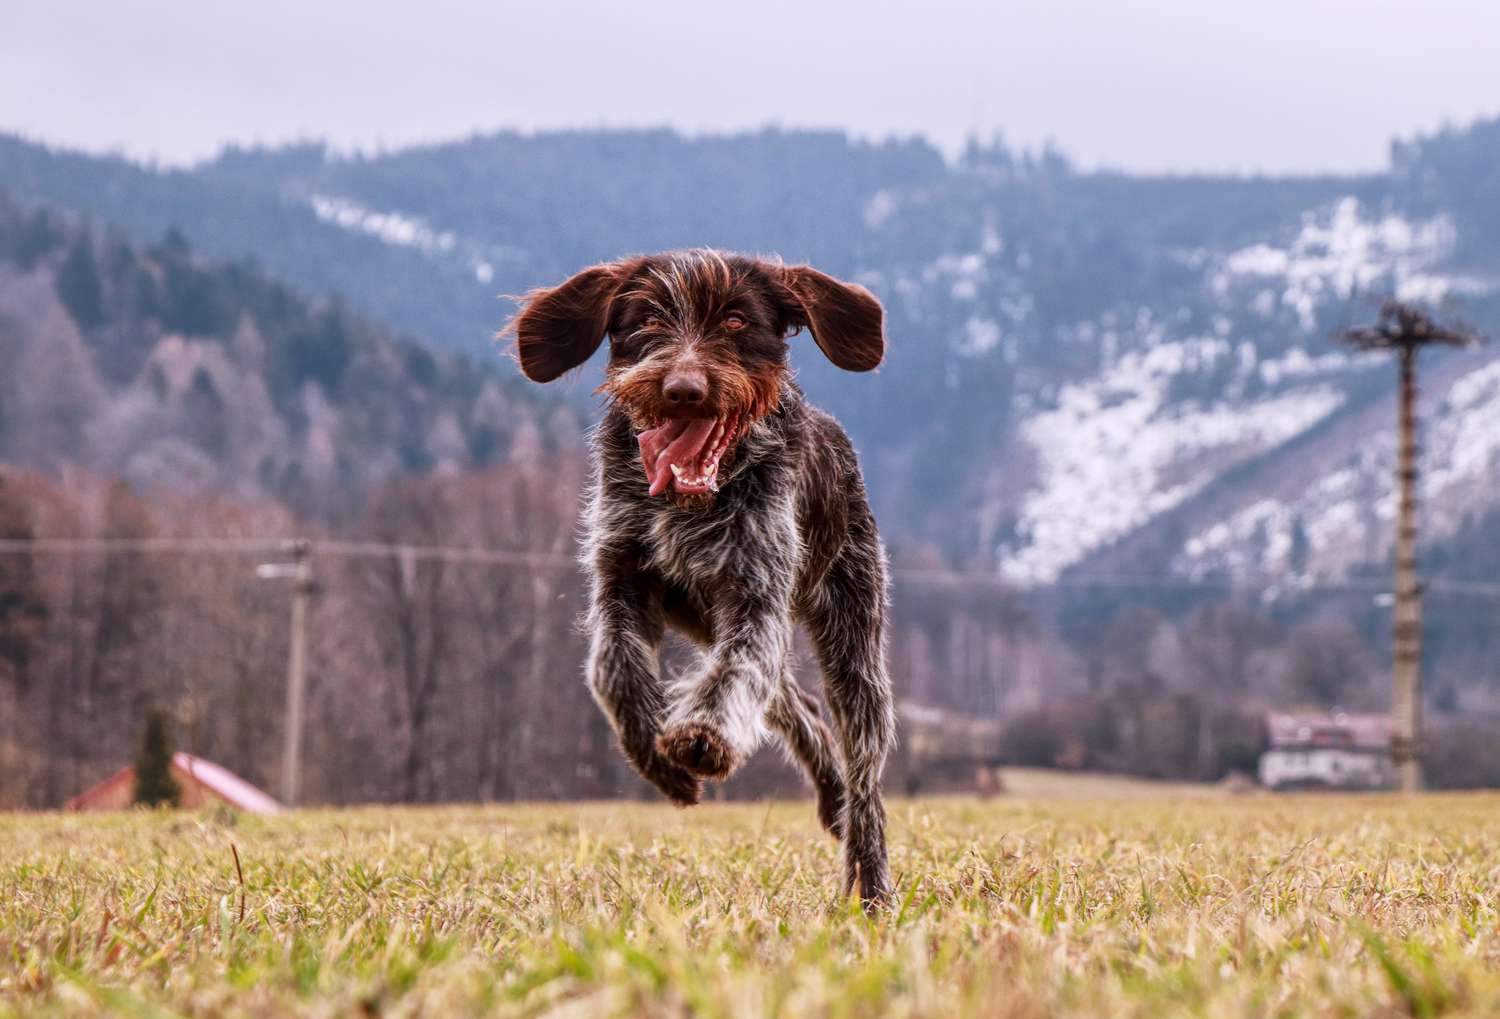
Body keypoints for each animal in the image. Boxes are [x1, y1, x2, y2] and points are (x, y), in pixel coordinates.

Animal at [510, 250, 894, 906]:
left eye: (736, 322)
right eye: (646, 319)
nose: (684, 390)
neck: (688, 504)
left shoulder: (757, 595)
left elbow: (736, 675)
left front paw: (699, 737)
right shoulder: (621, 580)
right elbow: (612, 670)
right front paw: (659, 761)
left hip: (853, 633)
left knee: (861, 762)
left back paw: (869, 883)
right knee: (795, 705)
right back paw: (831, 796)